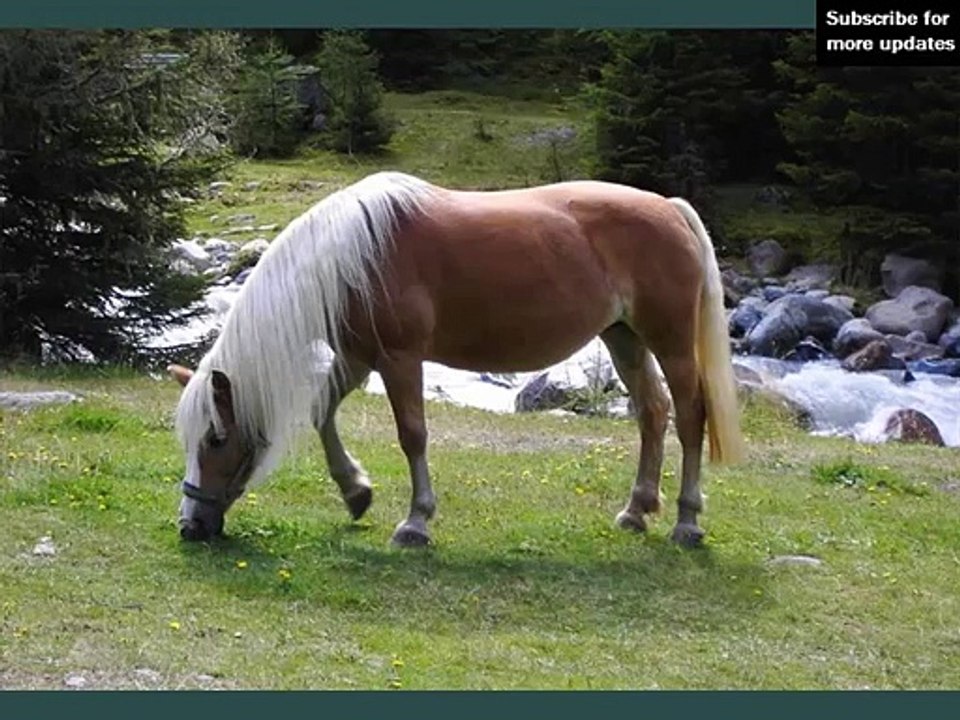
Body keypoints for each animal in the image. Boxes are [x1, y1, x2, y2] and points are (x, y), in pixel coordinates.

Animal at [168, 171, 745, 549]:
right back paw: (636, 511)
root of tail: (671, 208)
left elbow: (412, 435)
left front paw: (415, 522)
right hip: (623, 338)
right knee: (653, 412)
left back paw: (687, 523)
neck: (351, 257)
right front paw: (356, 492)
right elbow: (320, 412)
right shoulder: (357, 357)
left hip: (670, 342)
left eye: (215, 438)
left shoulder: (399, 360)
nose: (190, 525)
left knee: (690, 417)